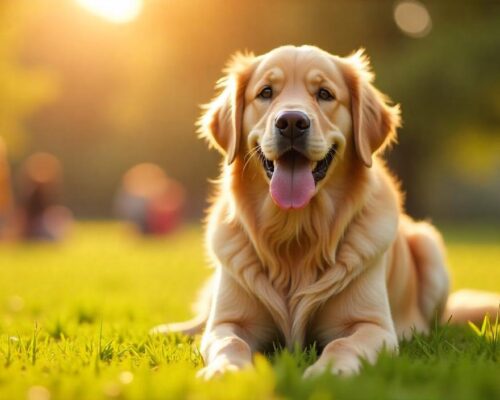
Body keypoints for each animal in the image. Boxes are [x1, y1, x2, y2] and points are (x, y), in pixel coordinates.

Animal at [152, 46, 500, 378]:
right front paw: (224, 372)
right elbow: (228, 341)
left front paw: (328, 372)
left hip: (429, 246)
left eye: (324, 94)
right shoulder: (229, 320)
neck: (296, 235)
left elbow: (342, 345)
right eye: (266, 92)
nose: (292, 122)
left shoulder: (372, 326)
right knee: (202, 319)